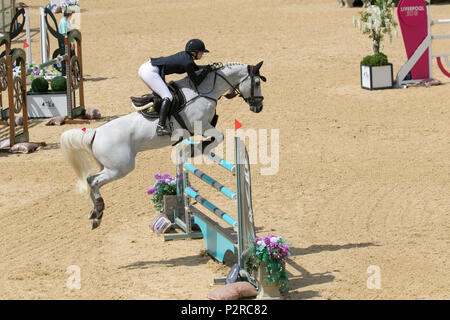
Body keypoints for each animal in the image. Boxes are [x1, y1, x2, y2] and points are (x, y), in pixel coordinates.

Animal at [59, 61, 264, 229]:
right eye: (256, 83)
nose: (258, 107)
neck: (203, 92)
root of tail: (95, 133)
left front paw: (192, 150)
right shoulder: (201, 125)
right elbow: (217, 137)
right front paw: (195, 150)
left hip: (109, 166)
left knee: (90, 180)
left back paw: (96, 214)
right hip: (120, 168)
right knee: (93, 181)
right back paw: (99, 211)